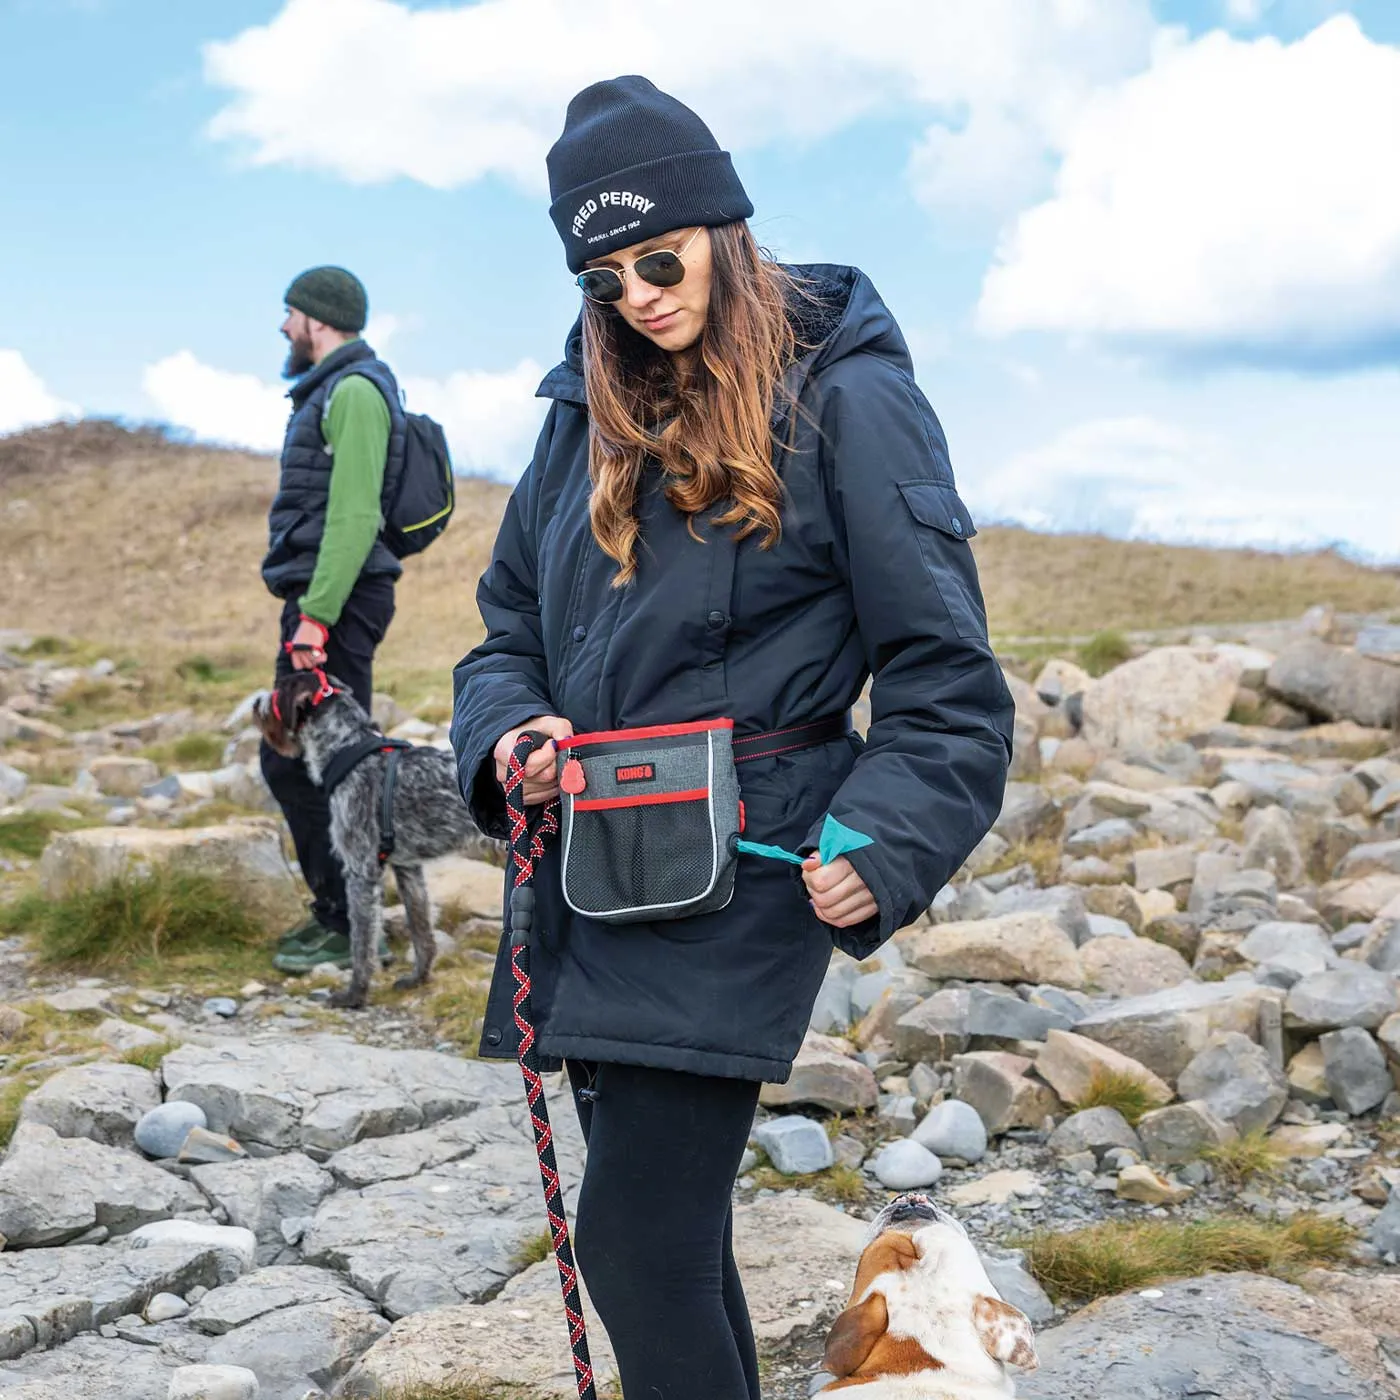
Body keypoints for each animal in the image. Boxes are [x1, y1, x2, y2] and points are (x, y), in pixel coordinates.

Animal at [257, 666, 498, 1008]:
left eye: (279, 690)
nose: (256, 705)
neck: (347, 748)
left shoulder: (361, 871)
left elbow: (362, 943)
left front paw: (354, 995)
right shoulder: (408, 868)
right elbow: (421, 930)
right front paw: (418, 978)